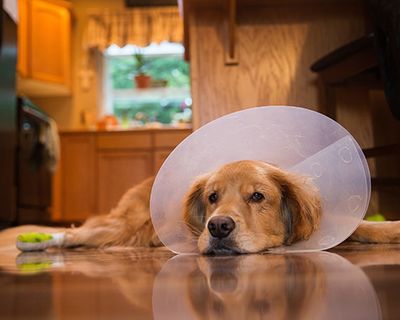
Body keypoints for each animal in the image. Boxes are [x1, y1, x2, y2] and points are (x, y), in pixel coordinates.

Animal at [57, 160, 400, 255]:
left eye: (258, 196)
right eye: (212, 197)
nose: (219, 227)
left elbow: (359, 225)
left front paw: (390, 228)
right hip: (126, 224)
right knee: (88, 231)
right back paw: (53, 240)